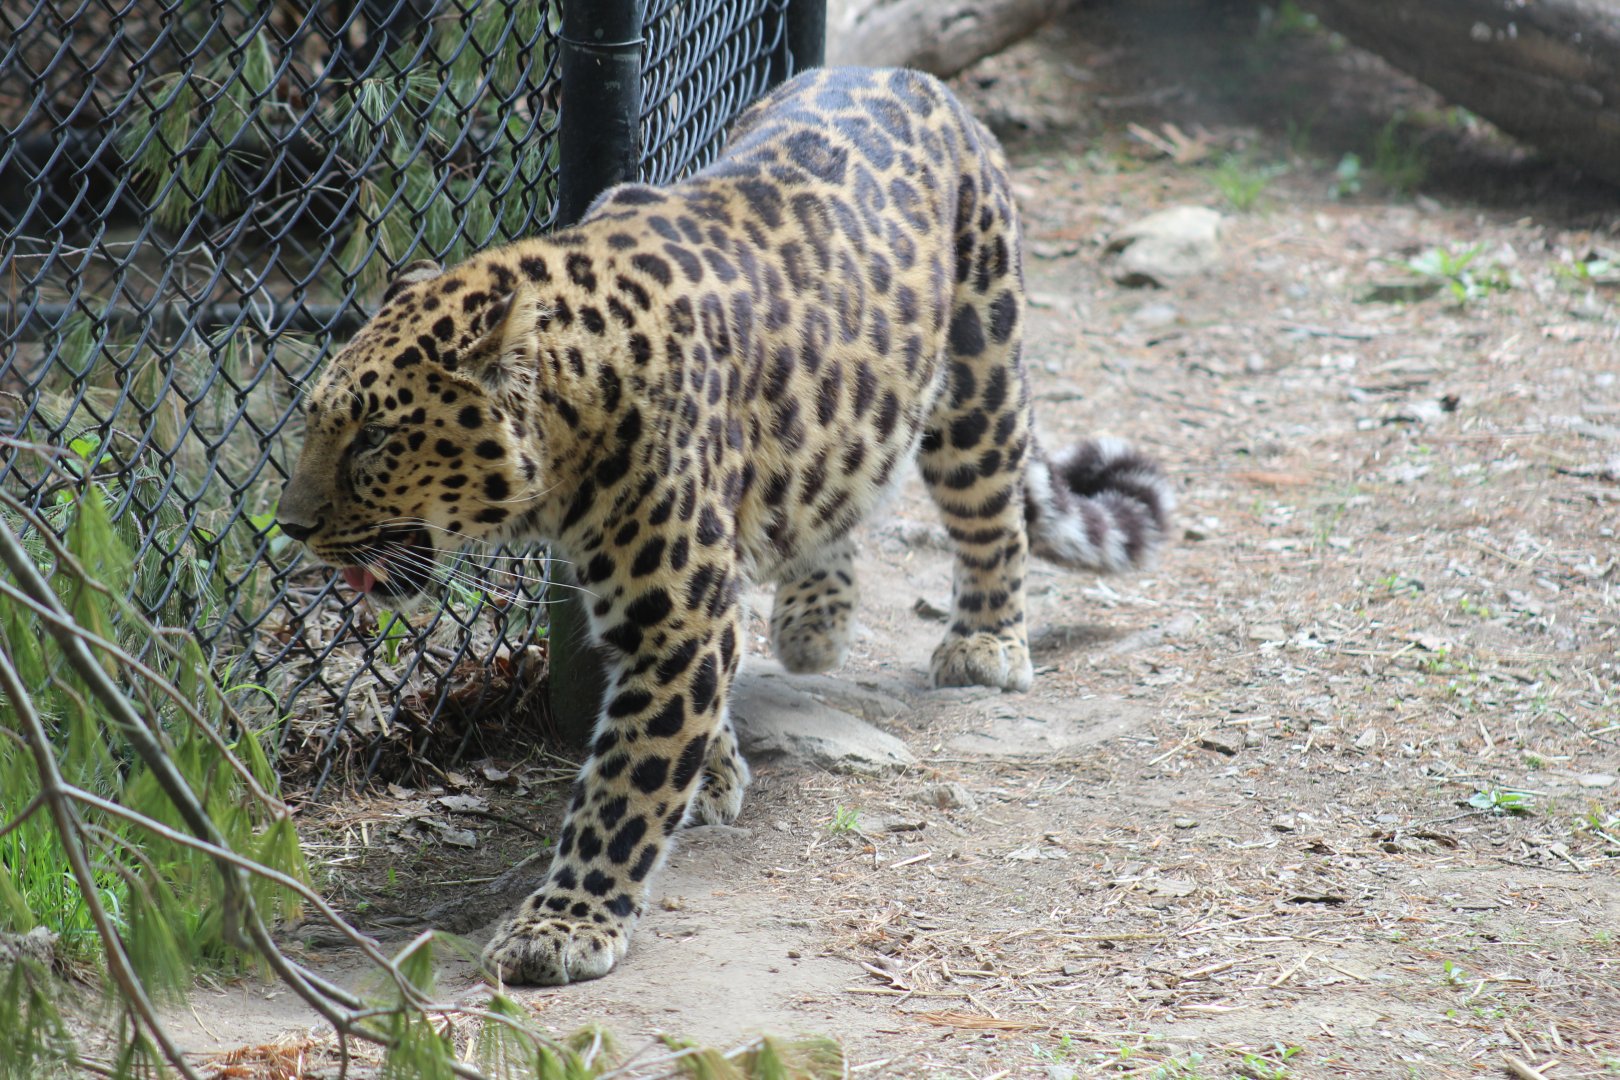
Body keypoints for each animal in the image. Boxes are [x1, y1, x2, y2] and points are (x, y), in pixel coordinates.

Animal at [276, 66, 1174, 986]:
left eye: (375, 438)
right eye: (315, 422)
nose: (290, 526)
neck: (571, 425)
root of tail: (917, 78)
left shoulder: (676, 618)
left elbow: (624, 784)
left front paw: (564, 924)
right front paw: (716, 774)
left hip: (979, 366)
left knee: (988, 505)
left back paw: (986, 642)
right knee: (835, 489)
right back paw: (815, 619)